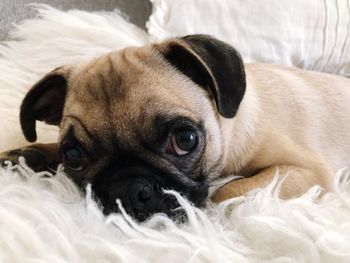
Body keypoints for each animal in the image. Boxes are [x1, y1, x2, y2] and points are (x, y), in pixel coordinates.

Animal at [0, 34, 350, 222]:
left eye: (184, 140)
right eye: (74, 157)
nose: (127, 190)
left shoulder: (307, 172)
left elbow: (226, 192)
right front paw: (29, 154)